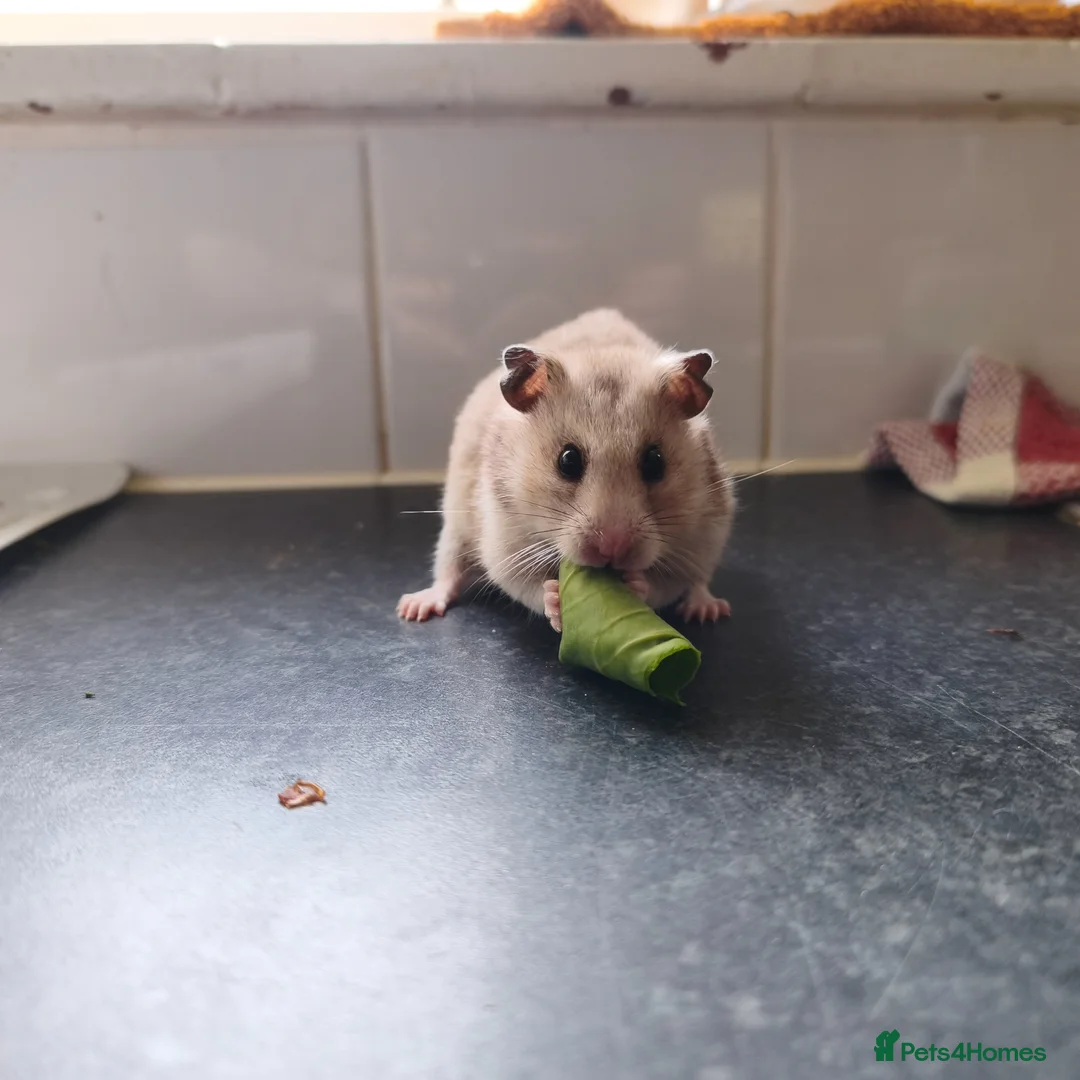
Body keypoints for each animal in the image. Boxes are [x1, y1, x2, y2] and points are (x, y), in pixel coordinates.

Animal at [397, 308, 734, 632]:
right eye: (567, 461)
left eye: (655, 462)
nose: (611, 548)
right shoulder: (503, 538)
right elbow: (525, 584)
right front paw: (555, 599)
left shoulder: (701, 532)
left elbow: (668, 584)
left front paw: (637, 585)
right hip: (454, 527)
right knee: (447, 570)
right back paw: (413, 608)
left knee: (699, 582)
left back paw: (709, 610)